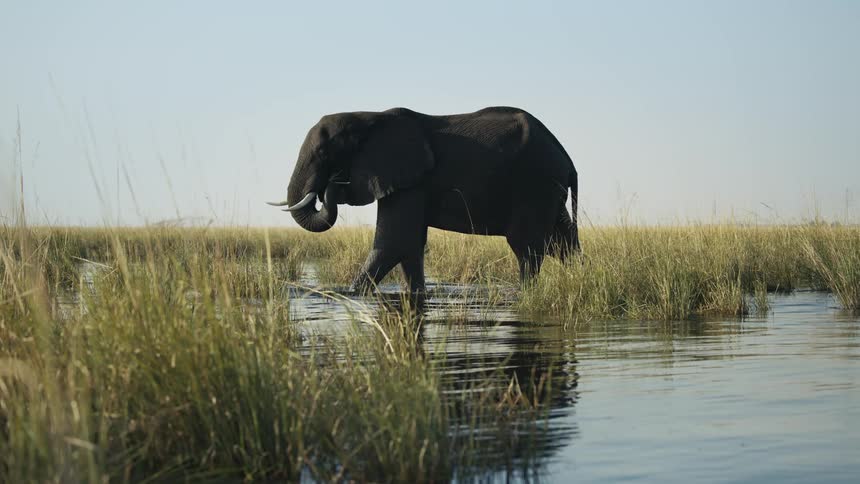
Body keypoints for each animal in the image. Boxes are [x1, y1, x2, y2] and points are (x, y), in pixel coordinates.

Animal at [267, 106, 580, 293]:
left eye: (323, 153)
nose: (332, 182)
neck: (369, 117)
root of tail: (567, 159)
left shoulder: (408, 180)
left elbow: (392, 244)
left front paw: (352, 295)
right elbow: (411, 246)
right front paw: (415, 294)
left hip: (534, 185)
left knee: (527, 248)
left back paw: (527, 293)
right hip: (549, 190)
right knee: (563, 241)